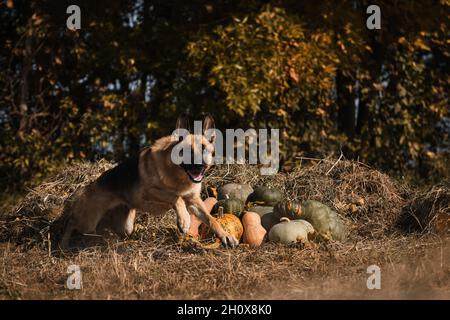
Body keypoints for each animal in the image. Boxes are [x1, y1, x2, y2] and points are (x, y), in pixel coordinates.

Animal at [59, 114, 239, 249]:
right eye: (187, 150)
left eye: (204, 149)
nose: (199, 166)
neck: (179, 175)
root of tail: (87, 187)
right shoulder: (149, 192)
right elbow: (176, 197)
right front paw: (184, 220)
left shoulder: (194, 201)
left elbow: (211, 219)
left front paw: (225, 236)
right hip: (88, 220)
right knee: (71, 222)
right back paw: (63, 244)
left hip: (124, 226)